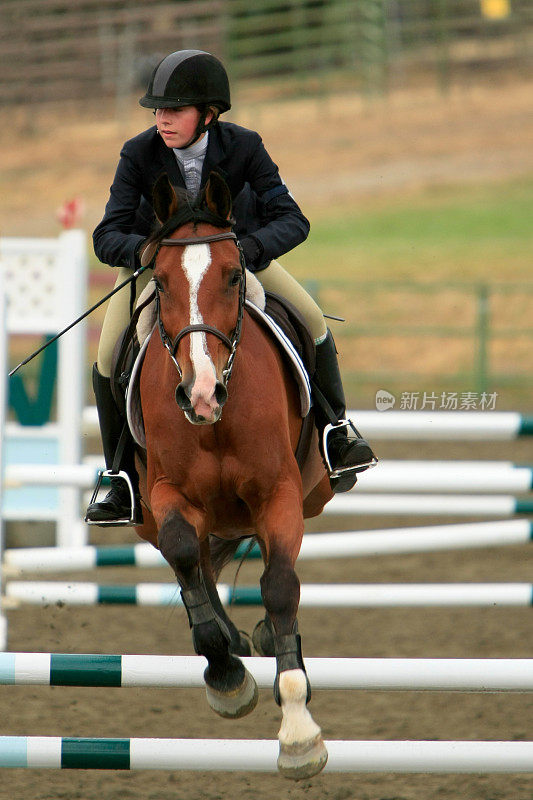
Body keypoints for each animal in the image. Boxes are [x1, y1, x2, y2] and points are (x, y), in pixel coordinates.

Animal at [134, 172, 332, 780]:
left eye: (234, 274)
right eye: (159, 279)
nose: (200, 396)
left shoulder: (280, 495)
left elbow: (279, 583)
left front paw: (298, 730)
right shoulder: (166, 495)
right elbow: (182, 552)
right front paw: (225, 672)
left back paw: (267, 638)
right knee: (192, 563)